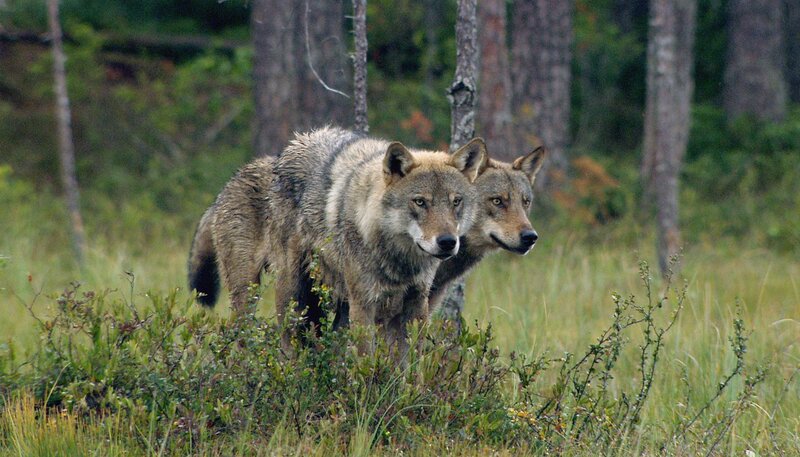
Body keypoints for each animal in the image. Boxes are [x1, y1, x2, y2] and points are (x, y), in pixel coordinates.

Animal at [270, 126, 488, 350]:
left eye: (456, 201)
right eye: (420, 202)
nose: (447, 242)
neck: (400, 263)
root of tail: (295, 142)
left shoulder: (417, 304)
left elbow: (411, 358)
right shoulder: (364, 305)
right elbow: (367, 357)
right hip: (294, 297)